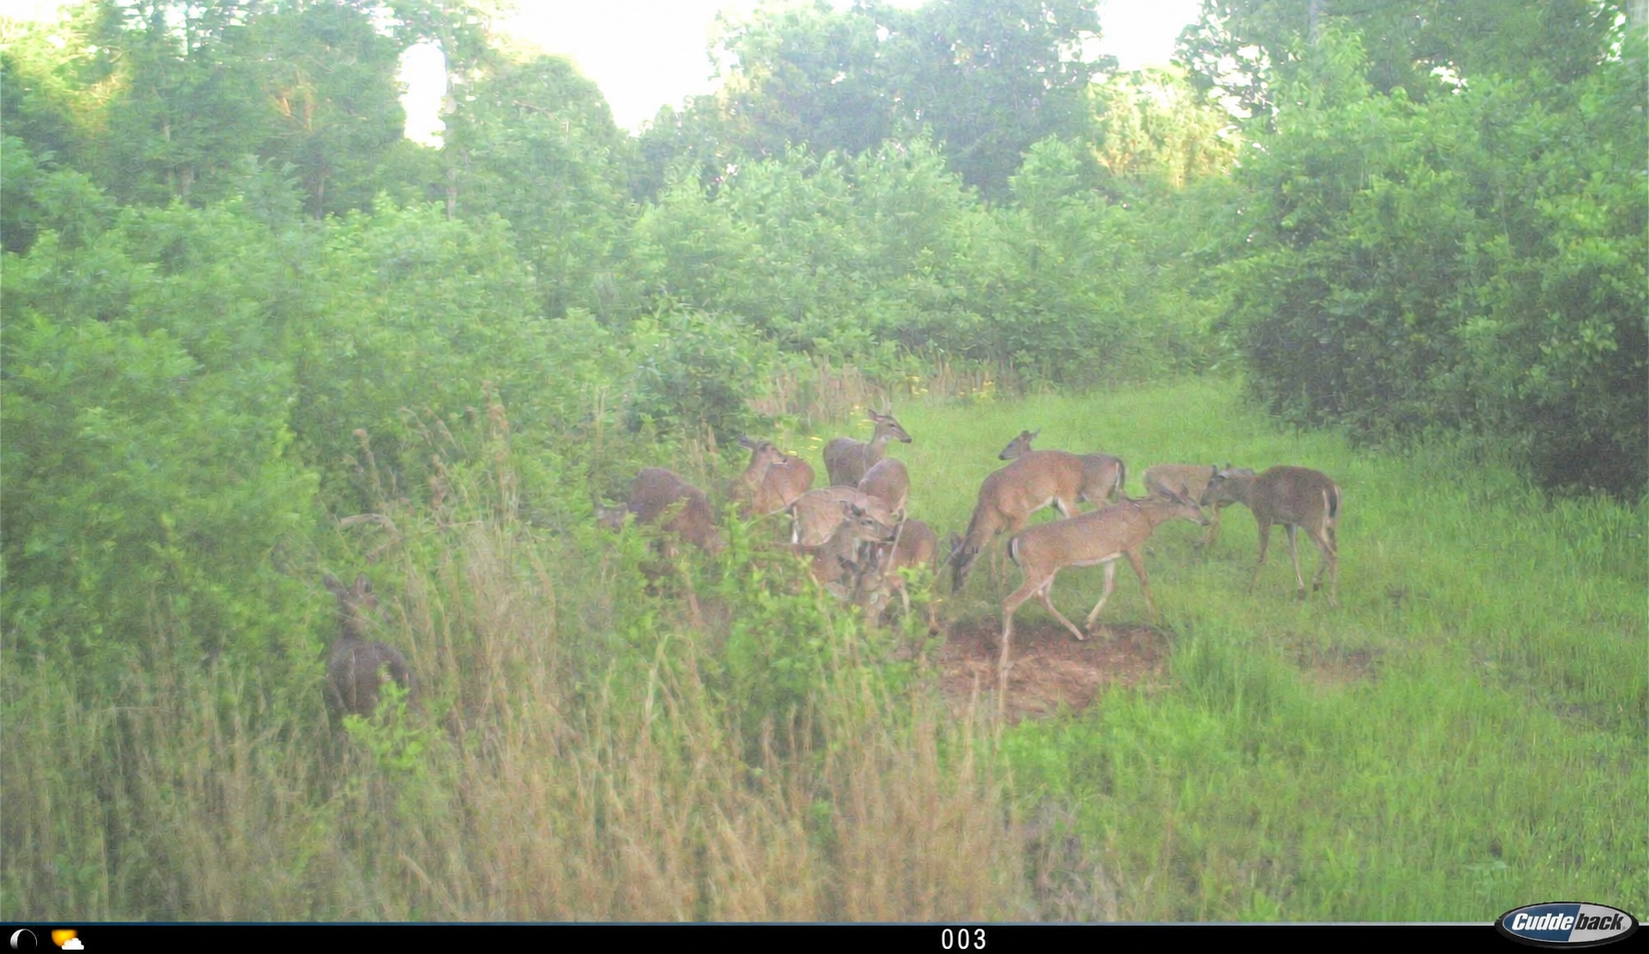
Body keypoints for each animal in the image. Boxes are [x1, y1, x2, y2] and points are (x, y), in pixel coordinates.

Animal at [950, 445, 1128, 593]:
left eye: (963, 570)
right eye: (950, 565)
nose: (955, 590)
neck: (990, 505)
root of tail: (1117, 461)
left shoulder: (1021, 516)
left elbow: (1005, 551)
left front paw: (1003, 585)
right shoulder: (998, 529)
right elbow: (993, 550)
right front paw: (991, 583)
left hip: (1079, 496)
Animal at [997, 486, 1209, 676]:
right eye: (1194, 505)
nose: (1205, 520)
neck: (1146, 517)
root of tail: (1014, 541)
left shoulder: (1111, 556)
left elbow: (1109, 586)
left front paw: (1089, 622)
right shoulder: (1132, 547)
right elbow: (1144, 582)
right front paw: (1156, 620)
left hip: (1046, 570)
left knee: (1041, 597)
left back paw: (1078, 633)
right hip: (1039, 569)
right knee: (1010, 602)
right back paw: (1004, 657)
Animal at [1199, 465, 1340, 607]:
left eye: (1211, 482)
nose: (1201, 500)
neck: (1249, 494)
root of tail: (1332, 489)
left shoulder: (1264, 517)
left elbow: (1262, 555)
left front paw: (1250, 589)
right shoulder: (1289, 523)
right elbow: (1294, 553)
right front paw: (1301, 591)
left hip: (1312, 522)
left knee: (1330, 552)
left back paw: (1332, 600)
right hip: (1330, 523)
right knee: (1332, 547)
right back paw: (1317, 583)